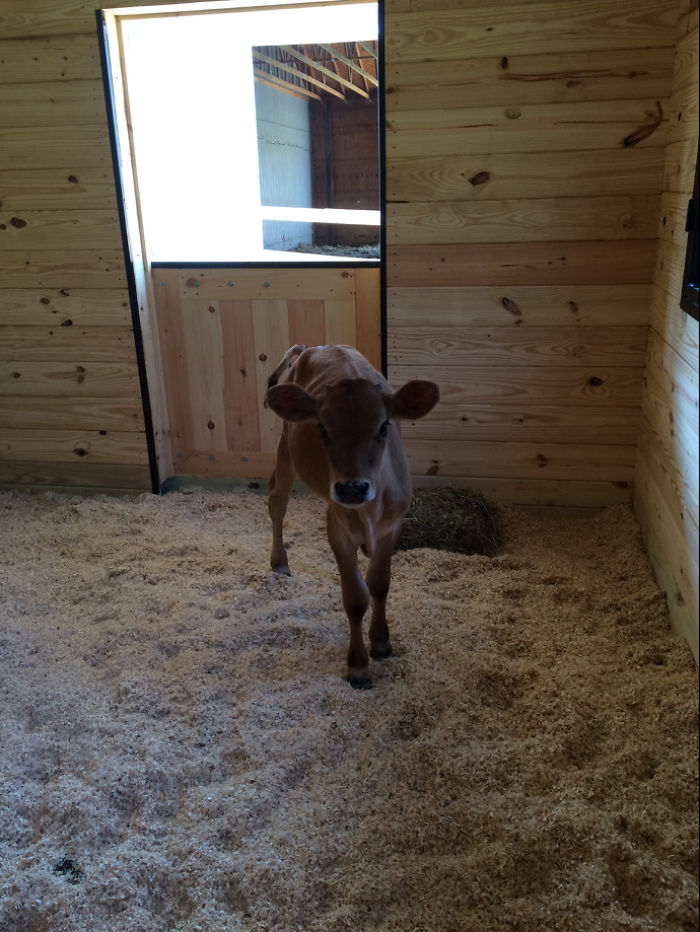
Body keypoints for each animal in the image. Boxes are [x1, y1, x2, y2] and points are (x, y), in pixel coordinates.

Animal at [265, 344, 439, 689]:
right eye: (322, 427)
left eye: (384, 426)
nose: (352, 488)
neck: (369, 511)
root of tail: (311, 348)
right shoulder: (338, 530)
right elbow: (356, 597)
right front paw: (358, 665)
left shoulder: (392, 528)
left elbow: (380, 585)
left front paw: (382, 642)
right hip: (286, 449)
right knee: (276, 503)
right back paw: (279, 562)